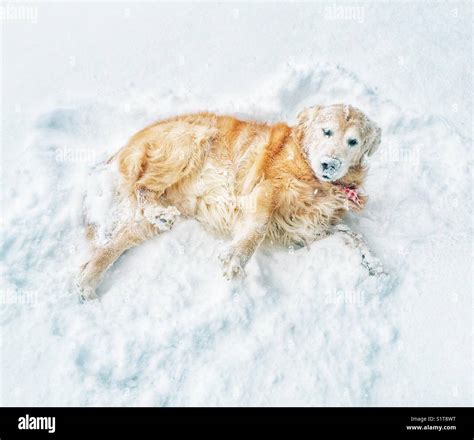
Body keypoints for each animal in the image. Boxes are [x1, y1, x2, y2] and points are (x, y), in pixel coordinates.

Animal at [78, 105, 382, 300]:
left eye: (353, 141)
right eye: (326, 131)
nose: (330, 164)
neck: (317, 181)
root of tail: (126, 144)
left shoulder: (309, 228)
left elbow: (353, 235)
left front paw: (373, 263)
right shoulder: (266, 189)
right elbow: (257, 228)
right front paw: (235, 258)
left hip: (152, 219)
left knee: (113, 243)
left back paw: (87, 280)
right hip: (190, 140)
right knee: (142, 186)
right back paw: (158, 212)